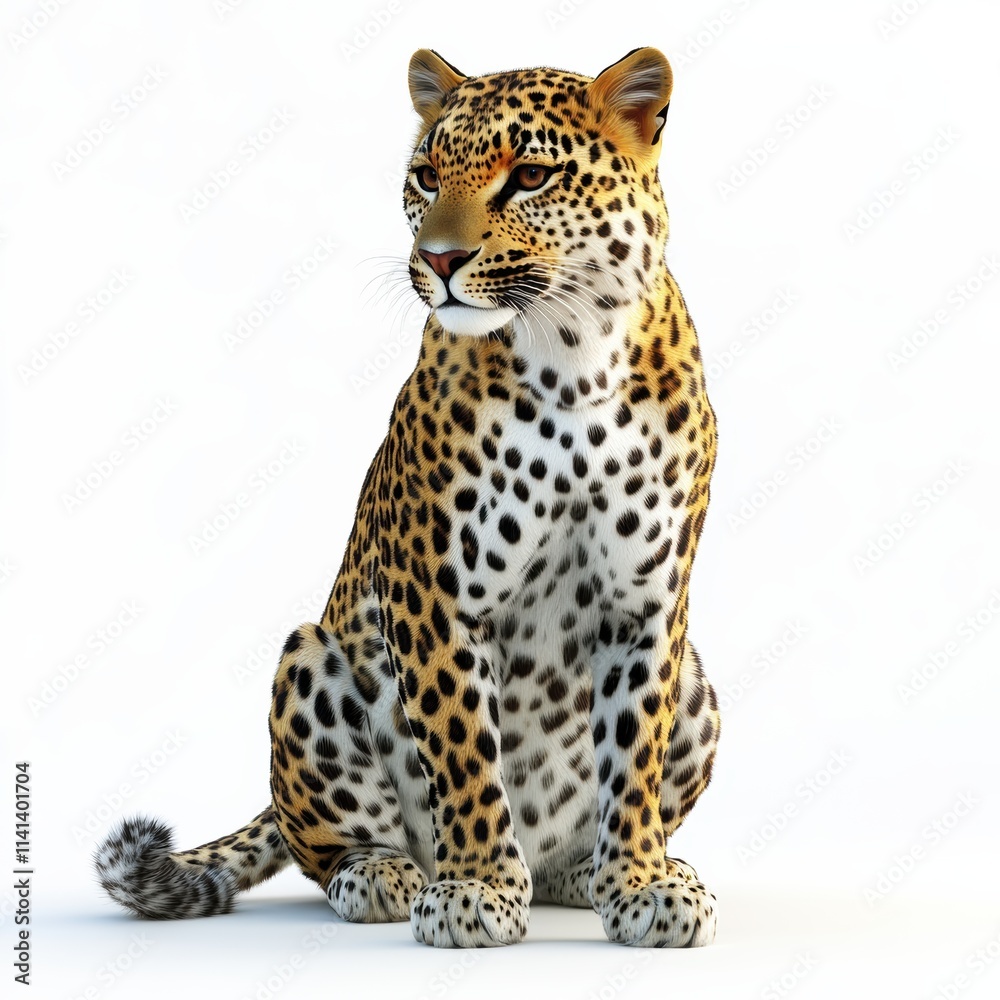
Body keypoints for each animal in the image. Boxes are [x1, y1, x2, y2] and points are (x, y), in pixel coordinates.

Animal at [94, 46, 722, 949]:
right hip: (309, 662)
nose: (439, 260)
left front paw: (642, 883)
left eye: (531, 175)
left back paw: (583, 875)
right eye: (426, 176)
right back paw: (385, 874)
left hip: (701, 683)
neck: (574, 359)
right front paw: (476, 891)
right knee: (322, 842)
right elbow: (462, 751)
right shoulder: (434, 592)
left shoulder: (646, 601)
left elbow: (633, 752)